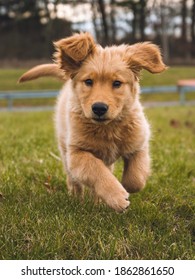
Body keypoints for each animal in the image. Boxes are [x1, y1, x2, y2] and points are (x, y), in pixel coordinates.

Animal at [19, 32, 166, 212]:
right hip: (64, 149)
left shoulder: (139, 144)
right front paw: (117, 196)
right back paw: (77, 198)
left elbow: (135, 178)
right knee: (74, 180)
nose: (99, 108)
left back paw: (98, 201)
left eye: (117, 83)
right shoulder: (77, 153)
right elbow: (96, 170)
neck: (108, 128)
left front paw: (124, 187)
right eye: (88, 82)